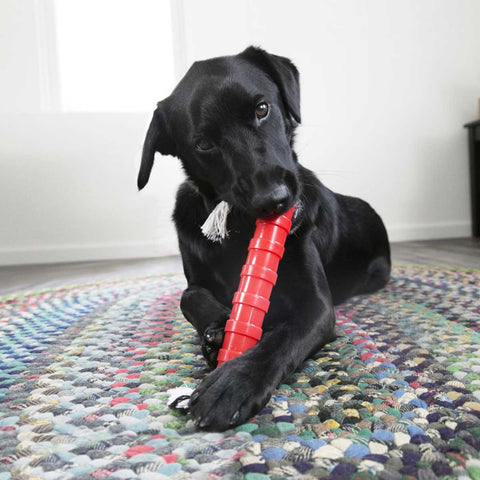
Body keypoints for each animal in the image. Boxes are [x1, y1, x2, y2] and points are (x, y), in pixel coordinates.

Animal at [136, 47, 390, 432]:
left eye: (261, 109)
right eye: (204, 144)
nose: (274, 200)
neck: (239, 234)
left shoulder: (317, 307)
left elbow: (283, 338)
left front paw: (233, 384)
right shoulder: (194, 277)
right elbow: (188, 296)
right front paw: (218, 328)